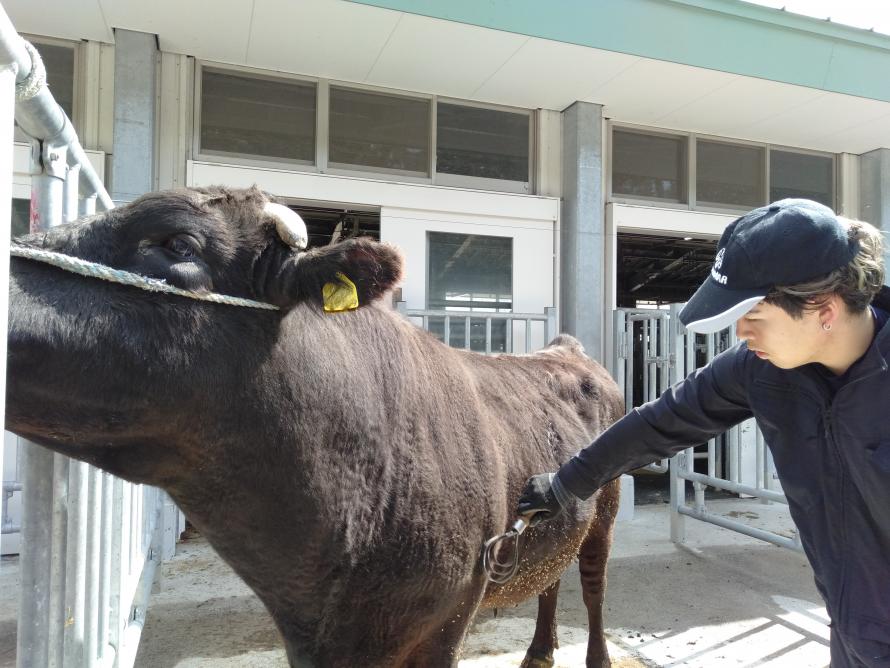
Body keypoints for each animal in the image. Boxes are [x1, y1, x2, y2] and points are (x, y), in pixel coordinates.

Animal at [6, 185, 620, 664]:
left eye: (179, 244)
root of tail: (566, 348)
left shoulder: (446, 624)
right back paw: (538, 652)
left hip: (606, 511)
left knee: (592, 584)